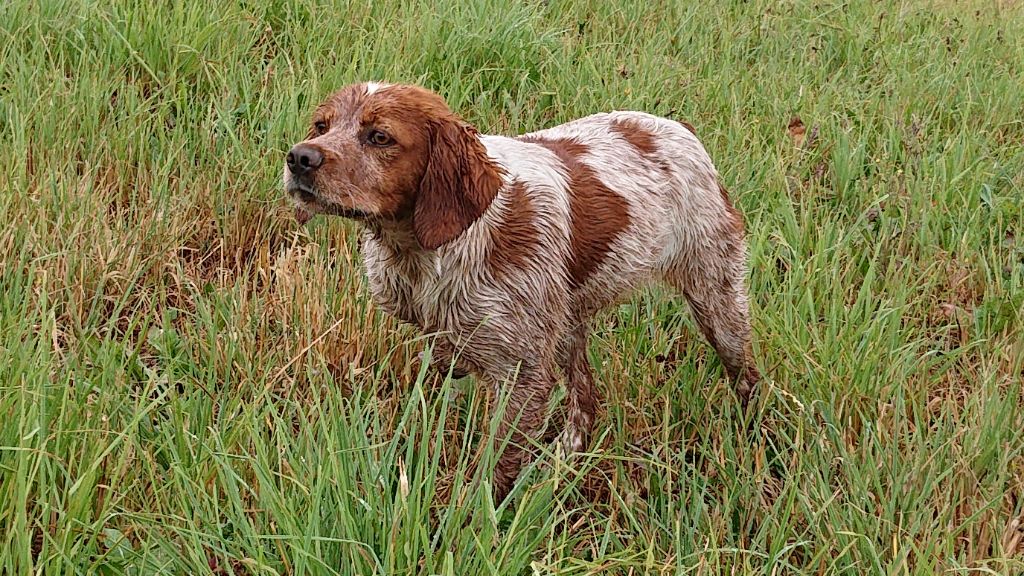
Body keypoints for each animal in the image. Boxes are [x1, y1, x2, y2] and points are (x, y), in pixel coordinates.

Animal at [280, 81, 761, 502]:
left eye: (379, 137)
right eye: (321, 125)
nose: (299, 158)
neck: (436, 247)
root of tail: (682, 130)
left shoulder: (521, 374)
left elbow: (491, 471)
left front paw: (467, 524)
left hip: (717, 298)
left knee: (747, 377)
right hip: (565, 323)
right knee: (586, 398)